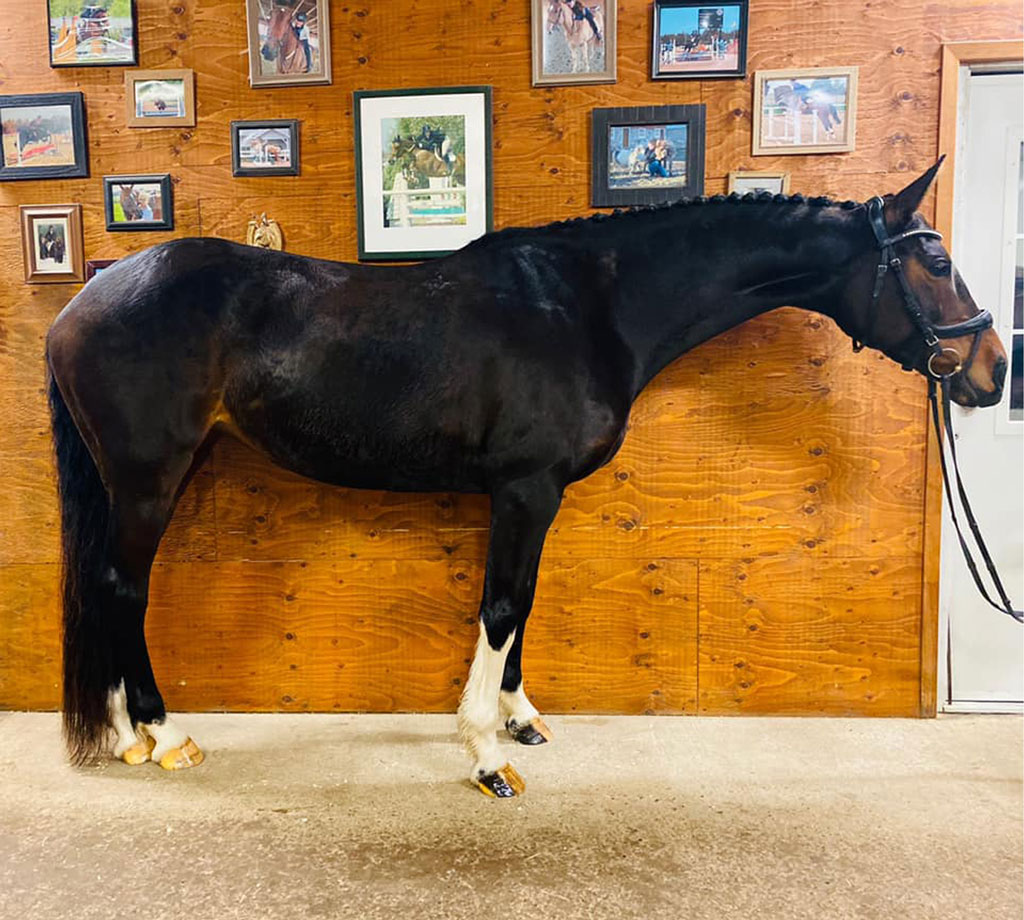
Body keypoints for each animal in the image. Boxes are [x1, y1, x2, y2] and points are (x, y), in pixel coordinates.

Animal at [45, 162, 1008, 797]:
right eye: (933, 262)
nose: (992, 370)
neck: (589, 307)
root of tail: (82, 303)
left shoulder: (535, 500)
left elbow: (527, 603)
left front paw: (519, 719)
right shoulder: (524, 489)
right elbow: (502, 607)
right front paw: (485, 753)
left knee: (110, 590)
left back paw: (130, 738)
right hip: (148, 481)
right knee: (123, 590)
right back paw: (163, 736)